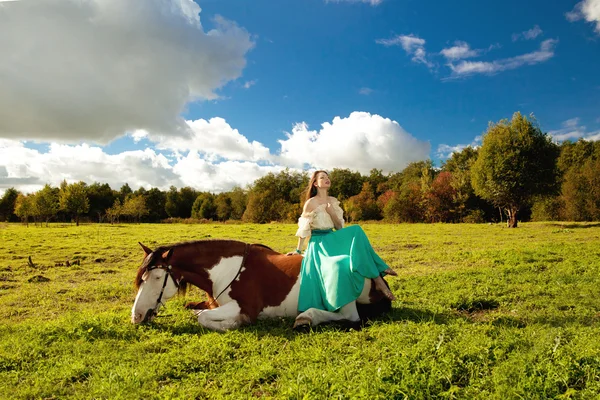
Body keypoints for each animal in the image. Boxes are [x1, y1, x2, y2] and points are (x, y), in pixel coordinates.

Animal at [132, 239, 394, 330]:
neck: (228, 270)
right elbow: (198, 310)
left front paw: (232, 324)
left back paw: (307, 317)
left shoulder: (245, 307)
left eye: (157, 278)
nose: (136, 316)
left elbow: (204, 318)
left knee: (350, 316)